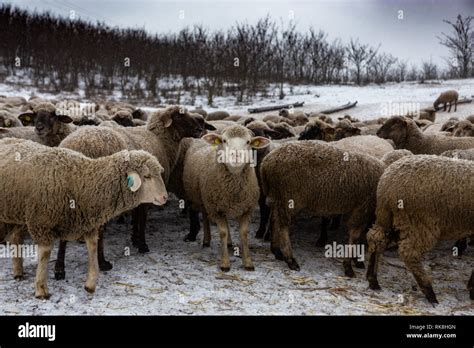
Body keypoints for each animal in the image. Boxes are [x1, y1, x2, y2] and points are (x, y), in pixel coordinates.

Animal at [0, 139, 168, 300]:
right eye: (147, 176)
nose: (165, 197)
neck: (81, 182)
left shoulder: (87, 223)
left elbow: (93, 247)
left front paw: (90, 284)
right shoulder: (42, 223)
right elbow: (45, 255)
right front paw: (41, 290)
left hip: (17, 211)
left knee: (16, 236)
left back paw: (18, 271)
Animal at [182, 125, 270, 272]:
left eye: (248, 142)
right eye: (224, 140)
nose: (236, 155)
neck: (233, 190)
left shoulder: (247, 209)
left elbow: (243, 233)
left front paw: (248, 262)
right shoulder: (216, 209)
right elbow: (222, 232)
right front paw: (224, 263)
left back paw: (228, 243)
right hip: (203, 199)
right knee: (205, 216)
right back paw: (207, 240)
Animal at [262, 141, 384, 274]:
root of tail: (267, 161)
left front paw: (356, 260)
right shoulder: (363, 206)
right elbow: (355, 235)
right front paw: (349, 266)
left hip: (278, 195)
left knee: (274, 219)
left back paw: (276, 251)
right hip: (289, 197)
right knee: (283, 226)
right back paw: (290, 259)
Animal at [364, 156, 472, 304]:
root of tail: (388, 183)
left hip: (384, 215)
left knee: (376, 239)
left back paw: (373, 280)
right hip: (420, 223)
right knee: (409, 253)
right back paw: (429, 291)